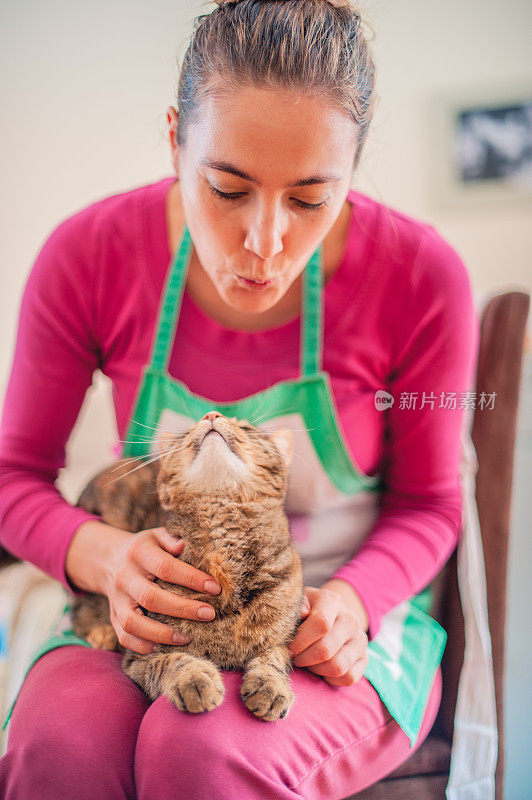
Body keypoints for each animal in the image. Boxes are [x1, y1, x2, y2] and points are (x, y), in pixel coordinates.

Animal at [71, 416, 304, 720]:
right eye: (186, 431)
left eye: (246, 428)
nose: (212, 414)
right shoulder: (141, 653)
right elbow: (174, 662)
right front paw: (194, 680)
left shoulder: (282, 639)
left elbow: (273, 658)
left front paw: (271, 686)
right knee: (81, 609)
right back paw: (103, 632)